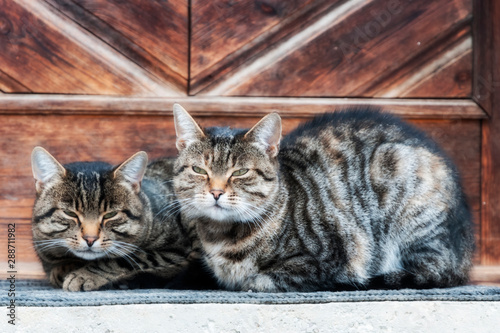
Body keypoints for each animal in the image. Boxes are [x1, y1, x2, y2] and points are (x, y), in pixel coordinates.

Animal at [29, 148, 213, 290]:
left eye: (110, 215)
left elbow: (126, 259)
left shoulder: (176, 248)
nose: (90, 239)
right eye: (70, 213)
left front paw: (85, 274)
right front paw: (66, 268)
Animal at [172, 104, 472, 290]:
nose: (216, 192)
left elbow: (263, 279)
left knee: (433, 271)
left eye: (240, 172)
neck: (220, 237)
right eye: (199, 170)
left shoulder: (328, 256)